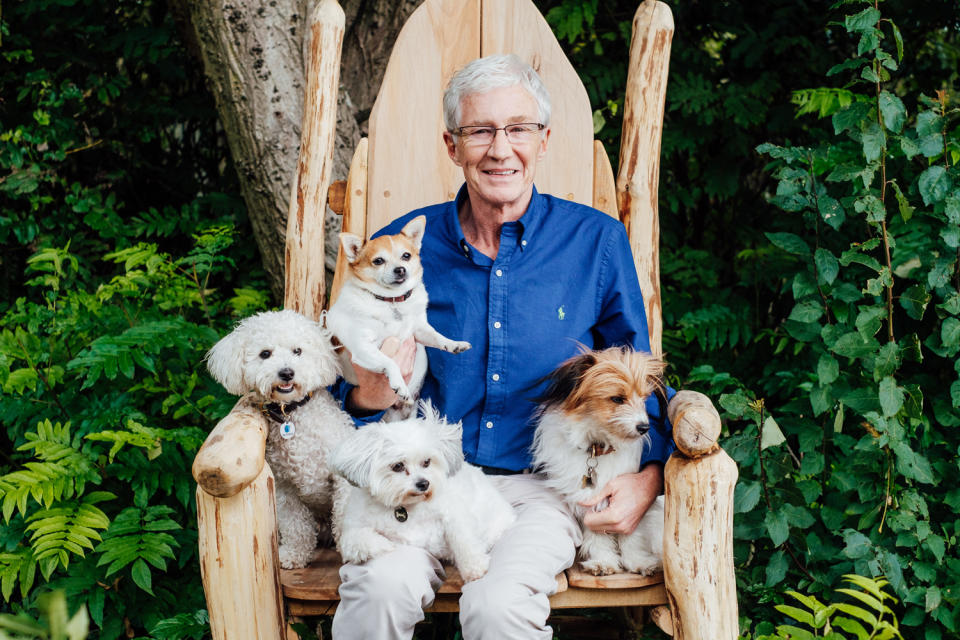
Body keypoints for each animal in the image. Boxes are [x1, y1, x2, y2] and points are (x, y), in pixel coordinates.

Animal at [324, 215, 470, 416]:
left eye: (406, 256)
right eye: (378, 261)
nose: (400, 269)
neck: (391, 301)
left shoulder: (419, 330)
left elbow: (436, 336)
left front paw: (454, 344)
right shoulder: (363, 347)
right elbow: (389, 362)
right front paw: (399, 385)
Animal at [328, 402, 512, 584]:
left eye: (426, 462)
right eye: (398, 466)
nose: (424, 484)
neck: (406, 506)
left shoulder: (454, 514)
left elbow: (464, 539)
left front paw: (474, 567)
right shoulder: (354, 527)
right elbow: (356, 541)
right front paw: (383, 545)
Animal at [532, 348, 668, 576]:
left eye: (643, 398)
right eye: (617, 399)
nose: (644, 427)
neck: (598, 448)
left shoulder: (631, 502)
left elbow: (632, 534)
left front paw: (638, 561)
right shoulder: (587, 500)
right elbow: (597, 536)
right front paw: (603, 562)